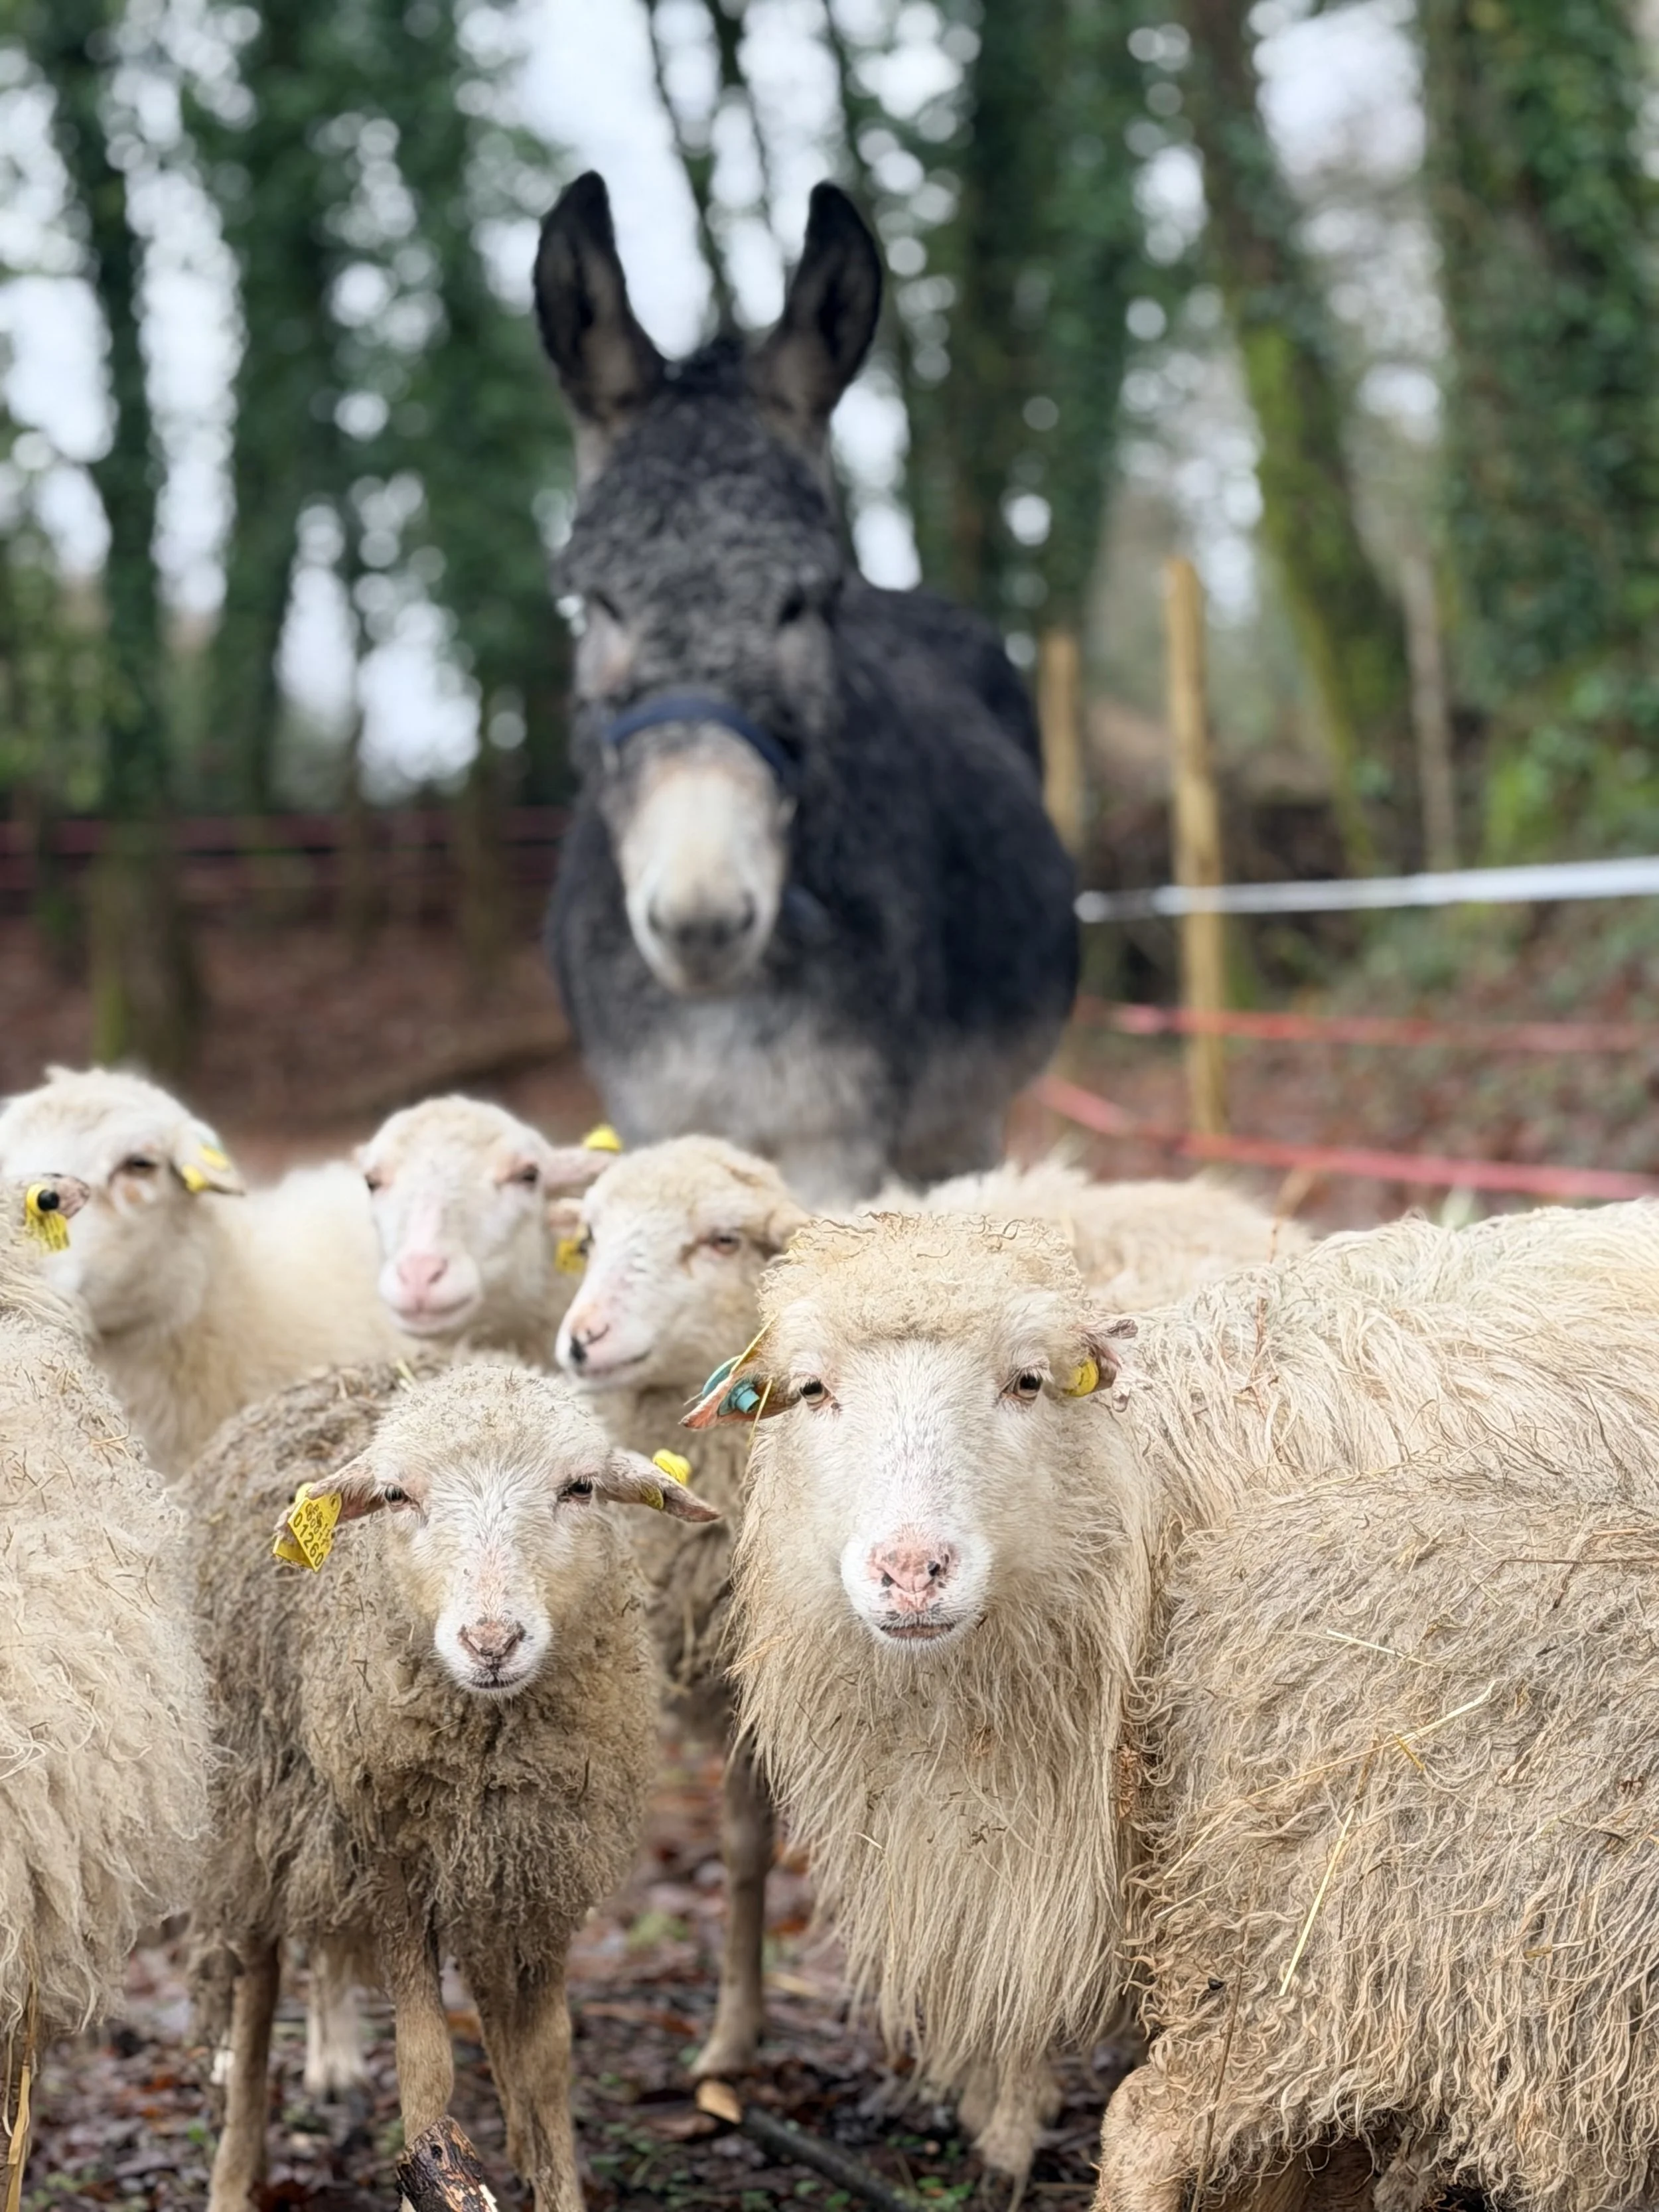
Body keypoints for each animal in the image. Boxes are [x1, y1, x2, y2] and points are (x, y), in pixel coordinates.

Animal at [190, 1357, 717, 2212]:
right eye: (396, 1496)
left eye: (580, 1488)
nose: (492, 1641)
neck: (489, 1747)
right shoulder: (392, 1867)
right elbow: (424, 2058)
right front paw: (430, 2178)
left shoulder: (543, 1866)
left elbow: (548, 2056)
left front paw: (553, 2182)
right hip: (256, 1815)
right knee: (256, 1994)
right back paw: (235, 2174)